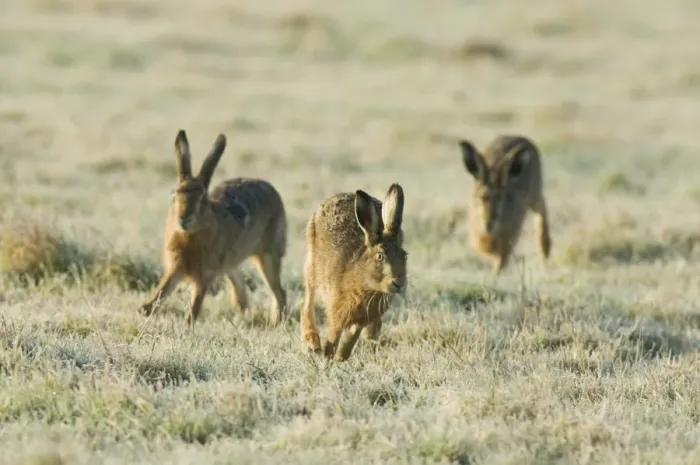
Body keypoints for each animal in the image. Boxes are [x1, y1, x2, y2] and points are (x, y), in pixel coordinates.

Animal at [138, 129, 288, 327]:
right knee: (239, 280)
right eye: (174, 195)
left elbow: (196, 302)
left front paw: (188, 322)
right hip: (230, 260)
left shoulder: (205, 274)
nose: (183, 218)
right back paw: (242, 308)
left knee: (279, 291)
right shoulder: (178, 265)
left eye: (202, 198)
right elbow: (164, 288)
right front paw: (146, 309)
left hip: (268, 254)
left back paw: (276, 322)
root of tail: (273, 191)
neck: (191, 235)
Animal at [300, 183, 408, 362]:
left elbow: (352, 337)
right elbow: (333, 336)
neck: (367, 286)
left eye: (405, 255)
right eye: (380, 256)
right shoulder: (336, 312)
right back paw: (312, 343)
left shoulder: (360, 319)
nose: (399, 284)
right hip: (311, 267)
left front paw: (340, 357)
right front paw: (327, 358)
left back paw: (371, 335)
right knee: (307, 302)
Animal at [458, 135, 551, 274]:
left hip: (535, 193)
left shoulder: (509, 239)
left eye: (501, 197)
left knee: (542, 208)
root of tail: (519, 137)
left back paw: (545, 249)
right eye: (480, 197)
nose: (488, 224)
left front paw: (496, 275)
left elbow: (502, 260)